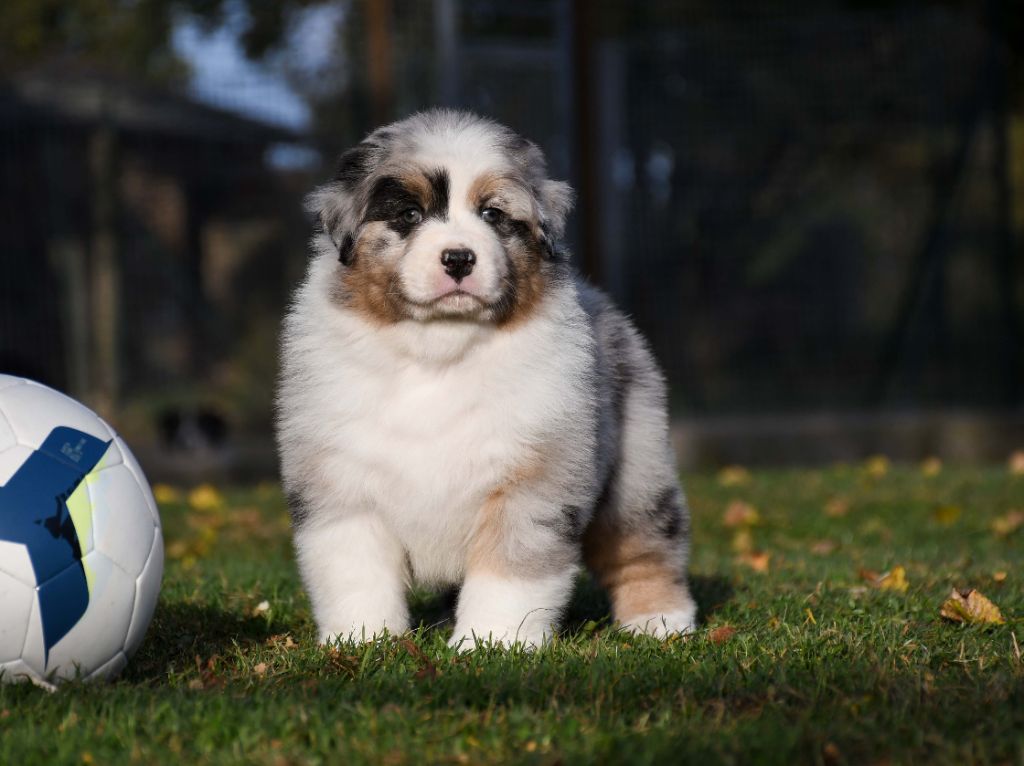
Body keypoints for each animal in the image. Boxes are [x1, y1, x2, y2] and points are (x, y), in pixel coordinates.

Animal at [276, 107, 700, 647]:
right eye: (409, 216)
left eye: (493, 215)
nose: (459, 258)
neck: (438, 351)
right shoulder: (343, 483)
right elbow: (355, 572)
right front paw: (363, 640)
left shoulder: (530, 480)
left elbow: (508, 573)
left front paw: (491, 643)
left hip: (637, 465)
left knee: (644, 542)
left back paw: (660, 621)